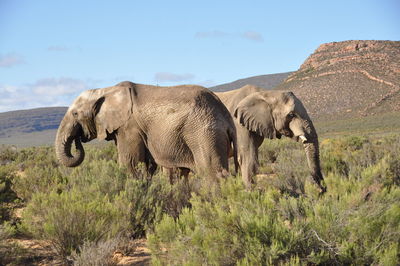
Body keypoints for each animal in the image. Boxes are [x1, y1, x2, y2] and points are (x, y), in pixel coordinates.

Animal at [55, 81, 238, 180]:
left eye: (75, 113)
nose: (78, 140)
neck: (106, 90)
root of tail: (228, 119)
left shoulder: (129, 127)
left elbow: (129, 163)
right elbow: (149, 166)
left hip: (204, 133)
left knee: (211, 172)